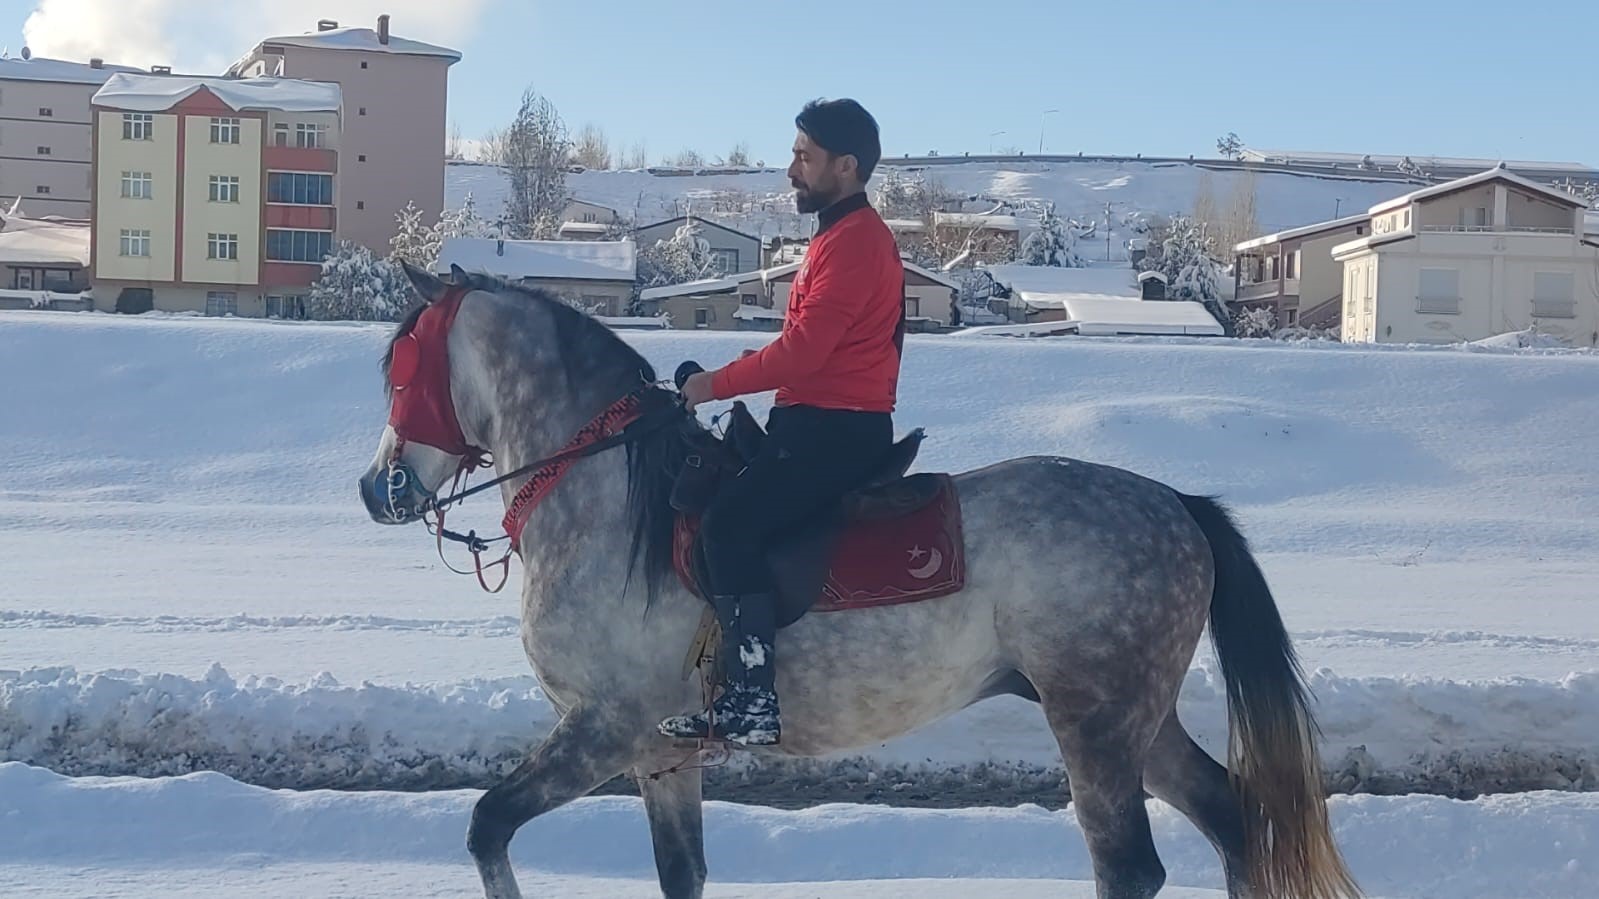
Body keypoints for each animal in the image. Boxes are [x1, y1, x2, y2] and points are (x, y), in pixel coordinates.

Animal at [359, 262, 1362, 895]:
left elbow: (488, 824)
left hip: (1096, 721)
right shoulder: (661, 751)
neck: (606, 499)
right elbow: (680, 873)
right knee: (1231, 819)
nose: (380, 488)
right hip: (1136, 717)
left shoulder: (602, 729)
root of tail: (1176, 505)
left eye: (402, 369)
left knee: (1129, 867)